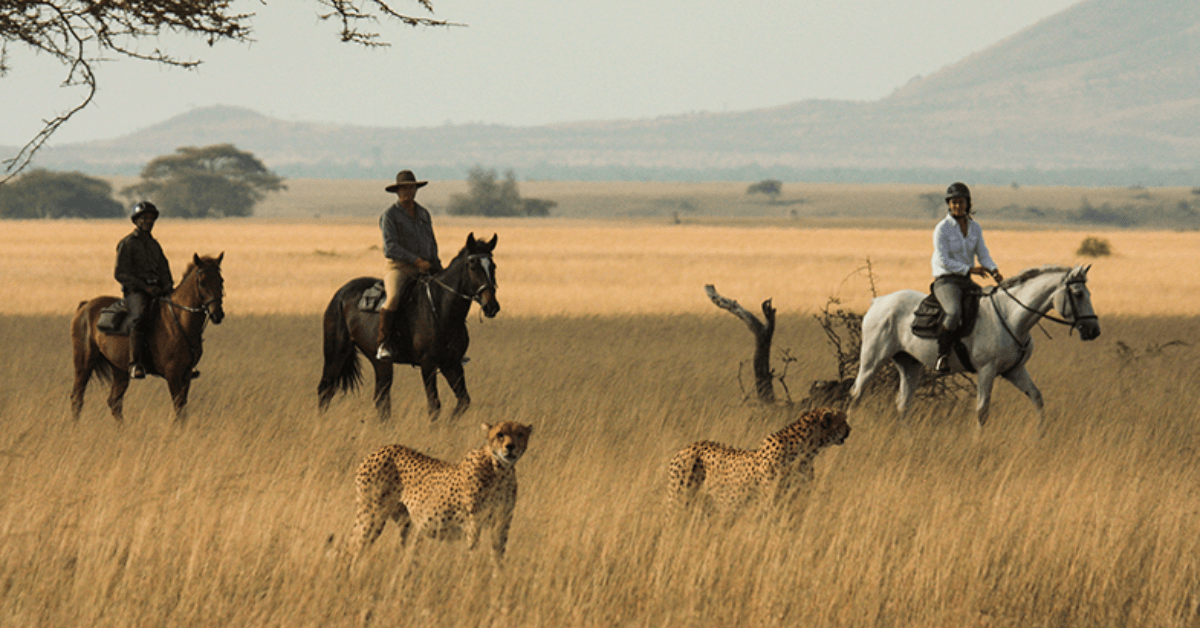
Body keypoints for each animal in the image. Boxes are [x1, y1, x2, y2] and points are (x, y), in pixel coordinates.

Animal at [71, 253, 226, 422]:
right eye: (202, 283)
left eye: (221, 281)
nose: (217, 314)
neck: (179, 321)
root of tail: (85, 306)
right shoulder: (173, 375)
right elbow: (178, 408)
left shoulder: (186, 375)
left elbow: (182, 409)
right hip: (84, 364)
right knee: (77, 398)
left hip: (119, 369)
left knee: (114, 402)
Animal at [318, 233, 499, 421]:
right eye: (472, 266)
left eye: (493, 266)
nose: (491, 306)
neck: (441, 309)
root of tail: (341, 294)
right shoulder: (428, 365)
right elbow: (434, 405)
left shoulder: (451, 364)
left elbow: (464, 401)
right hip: (336, 353)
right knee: (326, 389)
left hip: (380, 362)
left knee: (381, 397)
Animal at [849, 264, 1100, 426]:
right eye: (1078, 293)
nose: (1094, 331)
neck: (1010, 316)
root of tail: (878, 302)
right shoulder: (986, 371)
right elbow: (982, 410)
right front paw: (977, 445)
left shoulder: (1015, 370)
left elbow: (1037, 399)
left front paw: (1041, 435)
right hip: (872, 361)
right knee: (856, 395)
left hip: (909, 364)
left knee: (903, 404)